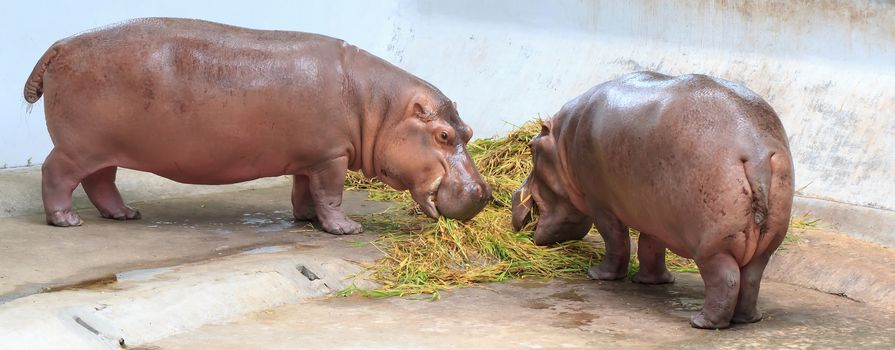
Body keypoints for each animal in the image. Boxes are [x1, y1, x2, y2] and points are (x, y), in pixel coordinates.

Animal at [24, 17, 494, 234]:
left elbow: (305, 191)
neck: (379, 107)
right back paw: (67, 221)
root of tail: (60, 45)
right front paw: (346, 229)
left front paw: (307, 220)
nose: (485, 193)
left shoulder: (312, 157)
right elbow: (332, 194)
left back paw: (125, 214)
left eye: (469, 132)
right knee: (56, 174)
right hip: (78, 147)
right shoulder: (332, 157)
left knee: (101, 181)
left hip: (103, 148)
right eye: (443, 135)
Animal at [516, 71, 796, 328]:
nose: (516, 193)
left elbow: (617, 242)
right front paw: (653, 281)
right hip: (764, 244)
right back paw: (748, 319)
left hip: (714, 246)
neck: (563, 140)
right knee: (751, 277)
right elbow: (649, 247)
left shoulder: (601, 205)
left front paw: (598, 274)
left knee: (725, 279)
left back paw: (702, 322)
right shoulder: (656, 216)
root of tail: (756, 152)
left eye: (531, 147)